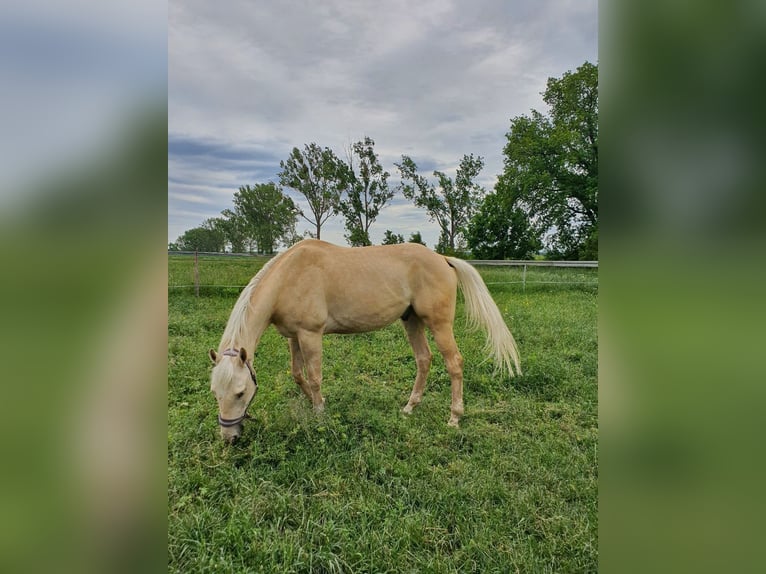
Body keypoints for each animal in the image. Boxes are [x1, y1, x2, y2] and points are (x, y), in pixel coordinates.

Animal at [208, 239, 520, 442]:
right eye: (215, 393)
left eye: (240, 392)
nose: (229, 437)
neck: (290, 276)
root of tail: (442, 258)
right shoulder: (293, 337)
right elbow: (298, 375)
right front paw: (317, 404)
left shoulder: (310, 335)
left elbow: (315, 376)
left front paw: (320, 414)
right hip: (412, 321)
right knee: (424, 360)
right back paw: (410, 407)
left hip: (439, 324)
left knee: (454, 363)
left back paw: (454, 418)